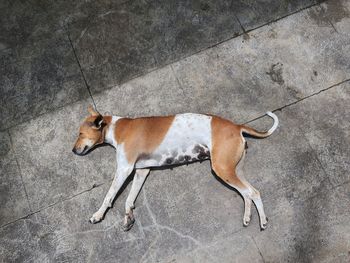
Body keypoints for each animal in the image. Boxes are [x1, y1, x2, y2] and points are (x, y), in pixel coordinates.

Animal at [72, 106, 278, 232]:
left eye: (80, 134)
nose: (73, 150)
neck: (116, 128)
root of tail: (236, 126)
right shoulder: (141, 171)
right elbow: (129, 199)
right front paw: (128, 217)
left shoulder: (124, 169)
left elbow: (109, 196)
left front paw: (98, 215)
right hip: (233, 169)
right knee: (248, 193)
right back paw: (247, 217)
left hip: (222, 169)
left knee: (252, 192)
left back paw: (263, 221)